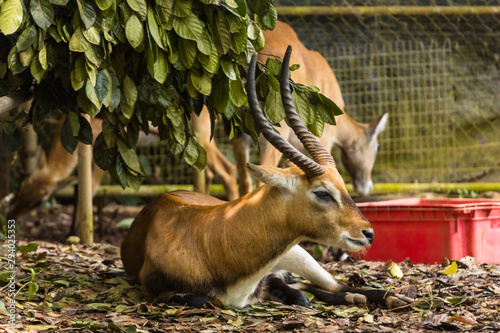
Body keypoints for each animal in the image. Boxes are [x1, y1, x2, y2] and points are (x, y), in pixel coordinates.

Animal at [121, 48, 410, 310]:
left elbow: (296, 290)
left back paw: (395, 298)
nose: (368, 232)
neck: (209, 242)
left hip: (300, 255)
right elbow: (204, 299)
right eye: (322, 192)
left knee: (337, 285)